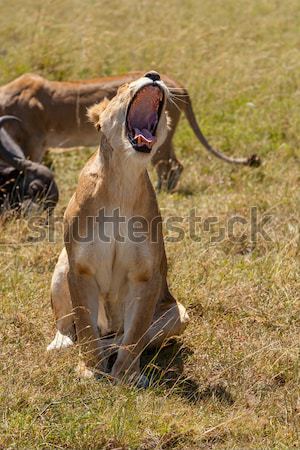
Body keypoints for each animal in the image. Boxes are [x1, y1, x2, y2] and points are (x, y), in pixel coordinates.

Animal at [48, 72, 190, 384]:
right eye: (123, 87)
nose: (154, 75)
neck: (122, 181)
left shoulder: (146, 275)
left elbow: (135, 335)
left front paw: (126, 376)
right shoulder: (80, 268)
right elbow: (85, 325)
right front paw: (90, 369)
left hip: (179, 314)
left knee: (128, 337)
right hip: (61, 266)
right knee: (70, 325)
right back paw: (63, 343)